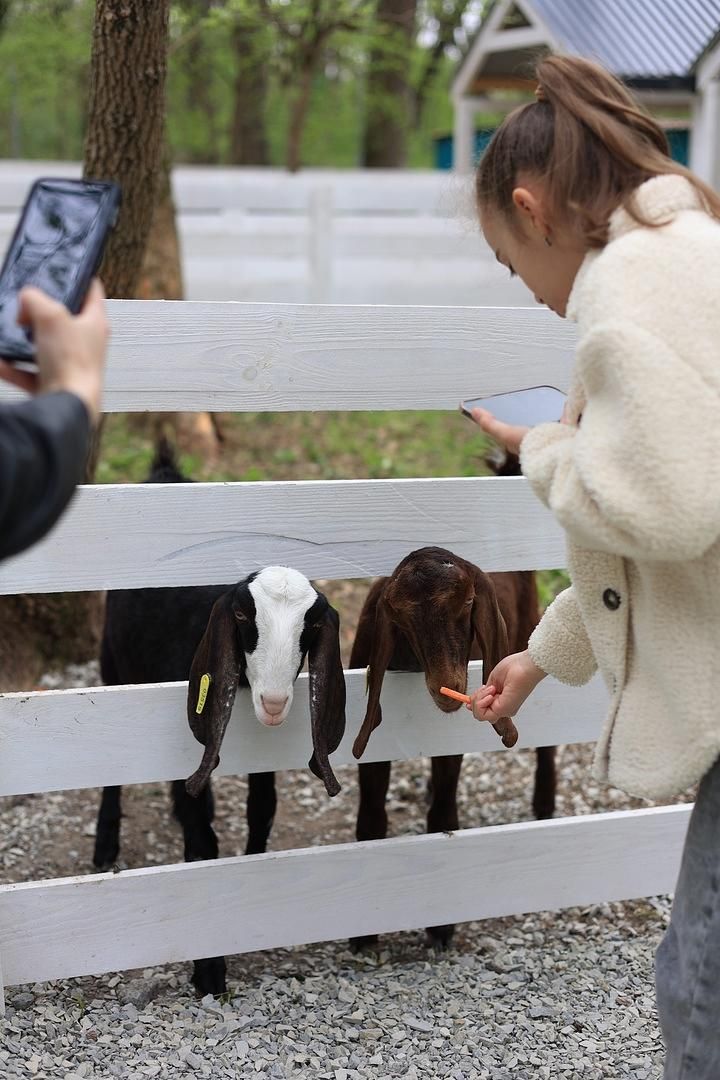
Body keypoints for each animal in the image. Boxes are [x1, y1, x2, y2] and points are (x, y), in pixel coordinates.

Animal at [94, 440, 347, 993]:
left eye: (310, 628)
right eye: (244, 618)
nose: (273, 704)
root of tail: (164, 474)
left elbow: (262, 810)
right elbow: (202, 838)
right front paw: (209, 968)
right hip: (111, 664)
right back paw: (104, 846)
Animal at [349, 535, 557, 950]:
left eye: (468, 601)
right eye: (400, 617)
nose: (449, 686)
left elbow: (443, 814)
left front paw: (441, 927)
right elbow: (372, 817)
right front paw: (364, 934)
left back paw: (545, 802)